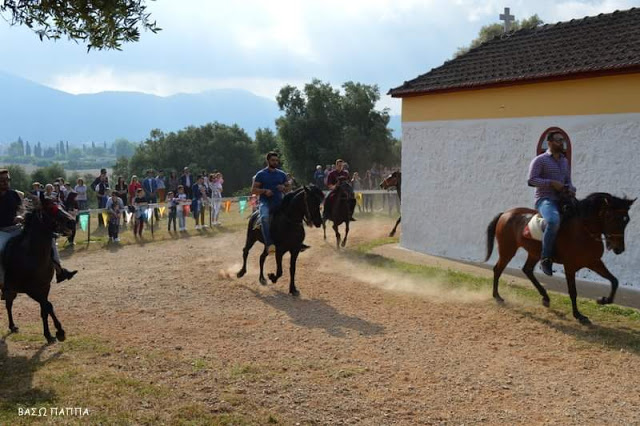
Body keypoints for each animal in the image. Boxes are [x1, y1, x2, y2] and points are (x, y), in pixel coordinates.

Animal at [2, 196, 76, 342]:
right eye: (51, 208)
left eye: (61, 205)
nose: (72, 222)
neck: (31, 254)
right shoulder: (30, 290)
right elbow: (47, 306)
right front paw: (59, 331)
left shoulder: (44, 287)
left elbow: (45, 310)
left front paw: (49, 334)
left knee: (8, 304)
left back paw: (12, 326)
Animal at [488, 191, 632, 324]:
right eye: (611, 217)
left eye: (626, 220)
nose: (619, 248)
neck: (583, 230)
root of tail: (505, 214)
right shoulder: (570, 266)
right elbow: (573, 291)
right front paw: (578, 315)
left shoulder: (594, 262)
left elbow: (614, 281)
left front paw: (603, 300)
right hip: (508, 250)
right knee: (498, 269)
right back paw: (497, 296)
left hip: (533, 253)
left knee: (527, 270)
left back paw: (545, 298)